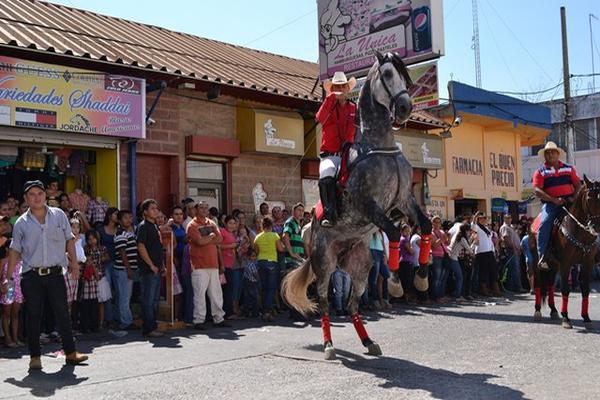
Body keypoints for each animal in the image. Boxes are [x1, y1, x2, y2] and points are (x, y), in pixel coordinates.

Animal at [284, 51, 434, 360]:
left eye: (404, 75)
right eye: (387, 74)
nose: (405, 107)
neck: (380, 148)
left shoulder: (404, 199)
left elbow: (425, 226)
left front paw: (422, 276)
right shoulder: (368, 205)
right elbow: (393, 233)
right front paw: (396, 282)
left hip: (361, 267)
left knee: (353, 304)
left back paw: (368, 341)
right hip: (324, 264)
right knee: (325, 302)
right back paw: (329, 345)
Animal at [528, 177, 600, 330]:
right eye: (589, 198)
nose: (596, 227)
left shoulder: (588, 263)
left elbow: (586, 289)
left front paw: (586, 318)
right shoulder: (566, 263)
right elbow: (565, 289)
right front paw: (566, 318)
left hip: (553, 264)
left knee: (550, 284)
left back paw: (554, 310)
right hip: (536, 261)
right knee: (538, 283)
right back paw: (538, 311)